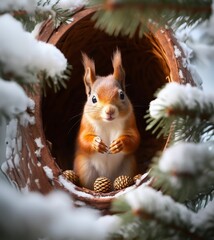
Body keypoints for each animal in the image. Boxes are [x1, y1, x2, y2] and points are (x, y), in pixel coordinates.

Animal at [73, 50, 140, 189]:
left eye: (122, 95)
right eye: (93, 99)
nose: (109, 111)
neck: (108, 123)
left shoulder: (130, 122)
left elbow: (135, 139)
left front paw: (119, 143)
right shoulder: (86, 125)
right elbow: (82, 140)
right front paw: (96, 144)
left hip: (129, 165)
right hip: (84, 167)